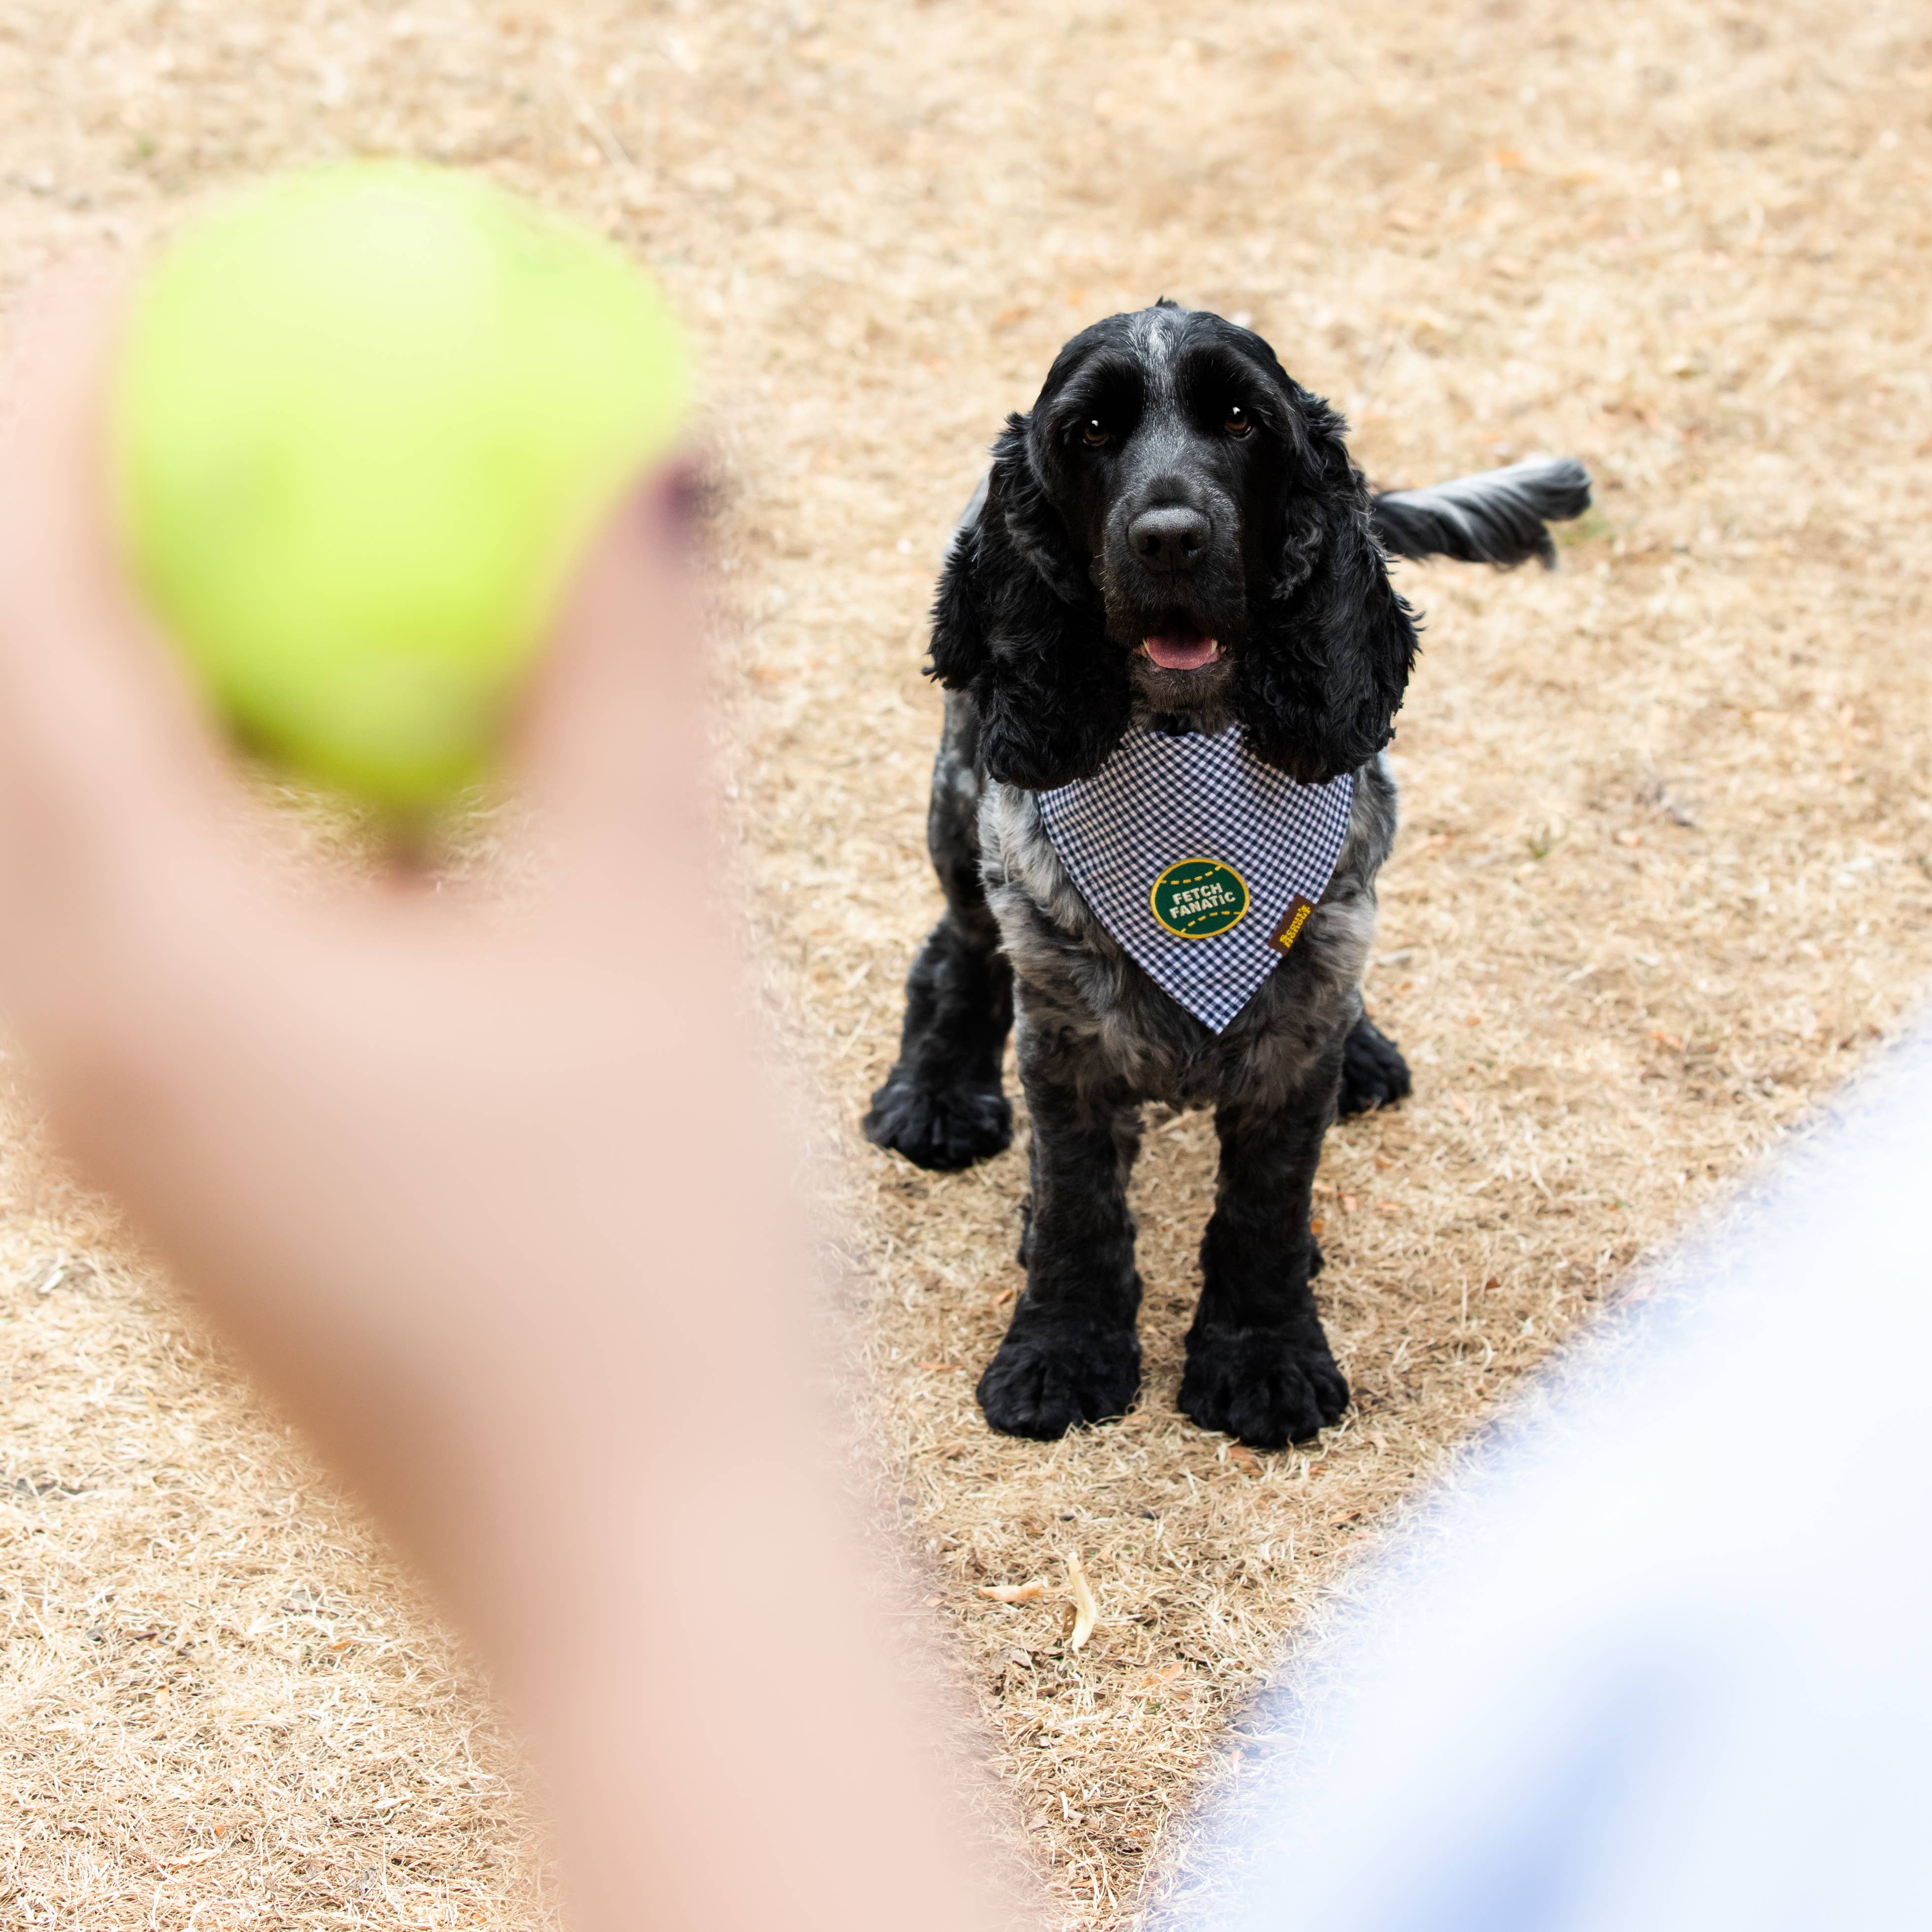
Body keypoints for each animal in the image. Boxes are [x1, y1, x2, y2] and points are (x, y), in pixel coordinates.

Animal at [869, 301, 1592, 1445]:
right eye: (1087, 431)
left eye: (1244, 420)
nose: (1170, 537)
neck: (1187, 746)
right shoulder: (1065, 1035)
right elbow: (1077, 1204)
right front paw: (1058, 1354)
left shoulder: (1297, 1033)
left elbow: (1264, 1206)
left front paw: (1264, 1359)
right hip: (961, 796)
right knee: (957, 945)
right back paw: (935, 1094)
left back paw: (1368, 1052)